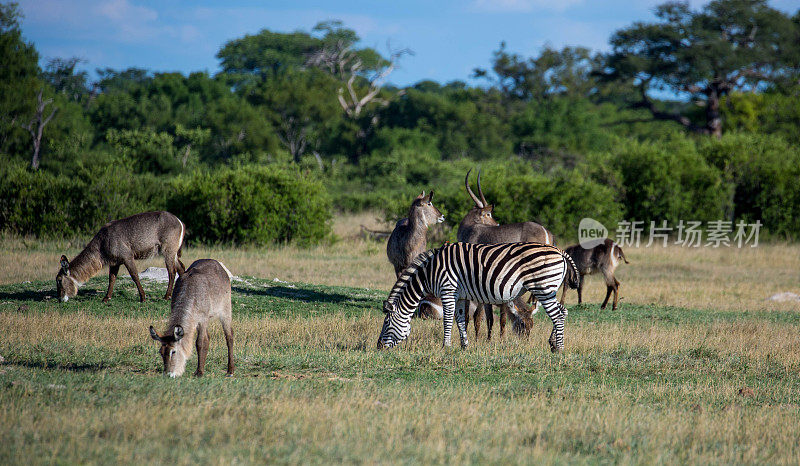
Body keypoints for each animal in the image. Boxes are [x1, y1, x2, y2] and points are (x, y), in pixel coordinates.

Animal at [57, 210, 187, 302]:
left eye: (59, 279)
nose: (59, 299)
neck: (102, 242)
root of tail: (180, 221)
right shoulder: (115, 262)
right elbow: (112, 278)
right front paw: (106, 298)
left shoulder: (127, 257)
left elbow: (134, 276)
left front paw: (143, 297)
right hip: (173, 253)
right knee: (181, 268)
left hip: (168, 251)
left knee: (172, 272)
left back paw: (166, 296)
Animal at [378, 242, 580, 352]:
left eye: (386, 323)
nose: (378, 347)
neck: (430, 271)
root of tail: (560, 251)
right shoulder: (459, 295)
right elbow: (460, 319)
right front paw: (464, 345)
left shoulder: (447, 289)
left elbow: (448, 320)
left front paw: (445, 346)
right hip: (549, 289)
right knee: (563, 311)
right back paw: (553, 343)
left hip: (543, 287)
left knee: (557, 315)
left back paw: (559, 349)